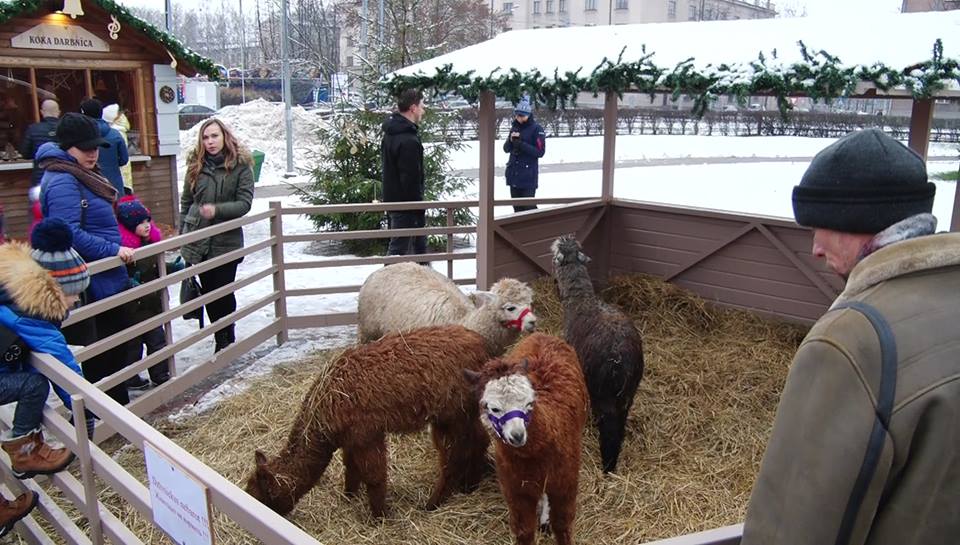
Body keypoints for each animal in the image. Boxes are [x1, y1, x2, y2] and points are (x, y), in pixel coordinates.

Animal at [245, 325, 495, 518]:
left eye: (261, 498)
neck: (326, 404)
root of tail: (482, 345)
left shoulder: (366, 433)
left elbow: (374, 476)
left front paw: (380, 516)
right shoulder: (350, 438)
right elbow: (351, 468)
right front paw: (349, 497)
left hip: (452, 412)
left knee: (455, 453)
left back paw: (433, 503)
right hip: (462, 412)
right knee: (478, 441)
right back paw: (470, 485)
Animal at [464, 333, 588, 545]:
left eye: (529, 402)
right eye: (493, 408)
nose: (517, 435)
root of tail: (542, 335)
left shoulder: (565, 482)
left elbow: (562, 527)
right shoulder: (516, 491)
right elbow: (524, 531)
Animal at [551, 234, 644, 473]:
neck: (581, 300)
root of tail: (622, 362)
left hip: (603, 392)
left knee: (608, 427)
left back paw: (608, 463)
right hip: (628, 393)